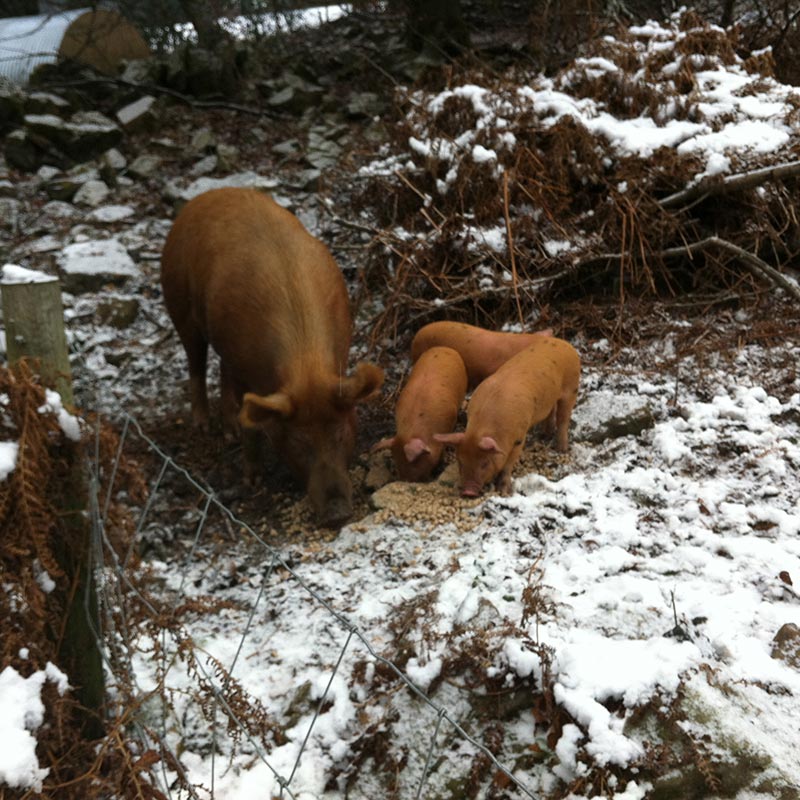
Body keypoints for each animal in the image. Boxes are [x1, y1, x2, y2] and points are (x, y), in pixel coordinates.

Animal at [160, 187, 384, 527]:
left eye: (341, 434)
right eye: (300, 442)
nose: (337, 514)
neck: (305, 363)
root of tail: (206, 196)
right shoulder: (246, 369)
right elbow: (251, 422)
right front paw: (252, 481)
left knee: (221, 371)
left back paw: (228, 433)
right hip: (179, 303)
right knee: (195, 362)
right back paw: (204, 427)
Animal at [434, 336, 580, 497]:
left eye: (484, 463)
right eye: (461, 462)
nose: (468, 492)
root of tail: (564, 343)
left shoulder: (519, 438)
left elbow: (508, 464)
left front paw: (504, 492)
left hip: (571, 388)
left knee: (564, 418)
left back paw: (561, 449)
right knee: (551, 412)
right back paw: (544, 436)